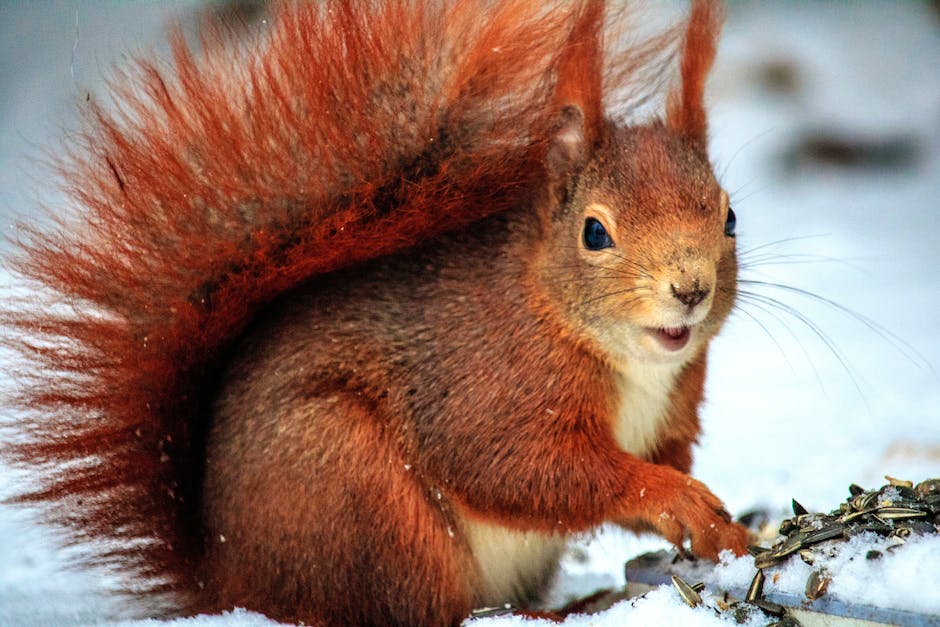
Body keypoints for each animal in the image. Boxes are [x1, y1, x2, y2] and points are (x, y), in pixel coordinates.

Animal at [1, 0, 748, 624]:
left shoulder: (673, 410)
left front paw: (727, 529)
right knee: (413, 610)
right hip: (360, 496)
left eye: (730, 216)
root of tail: (228, 582)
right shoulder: (488, 384)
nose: (691, 288)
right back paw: (549, 614)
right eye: (595, 232)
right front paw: (672, 496)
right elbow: (521, 469)